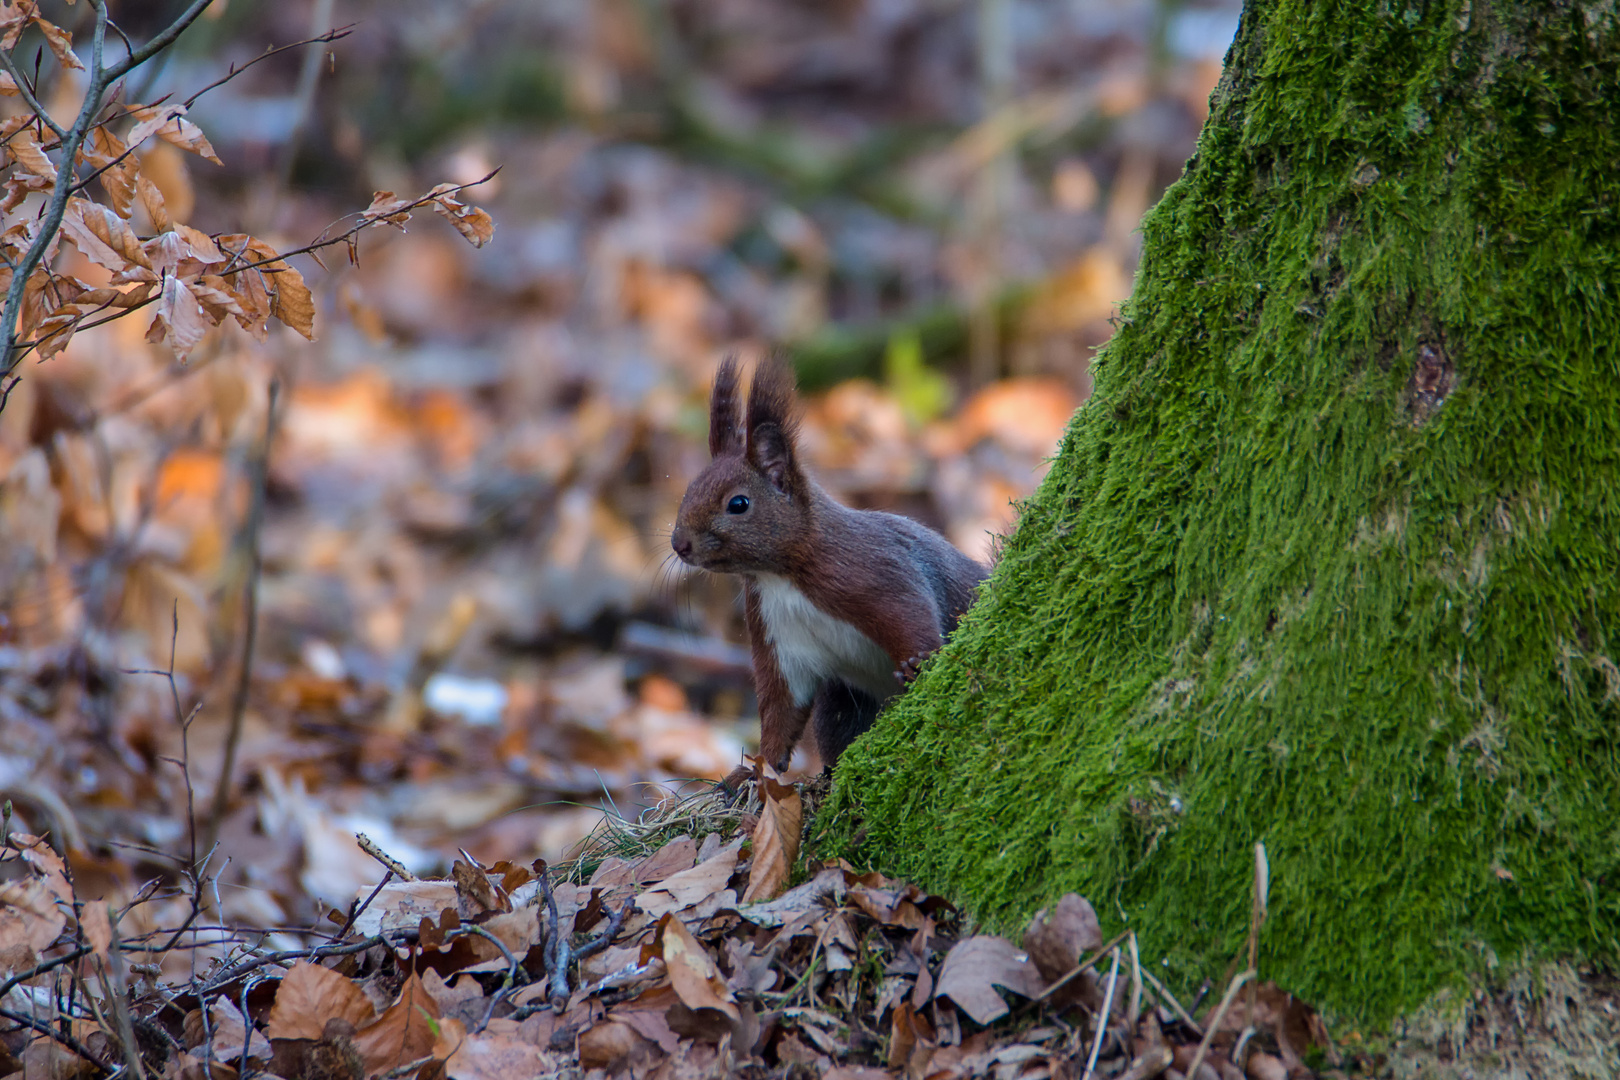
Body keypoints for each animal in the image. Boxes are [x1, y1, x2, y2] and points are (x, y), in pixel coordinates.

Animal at [670, 354, 984, 786]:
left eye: (738, 504)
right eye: (688, 489)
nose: (678, 544)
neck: (781, 576)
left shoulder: (876, 571)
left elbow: (912, 613)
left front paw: (916, 662)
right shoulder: (776, 634)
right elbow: (782, 706)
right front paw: (756, 770)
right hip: (843, 704)